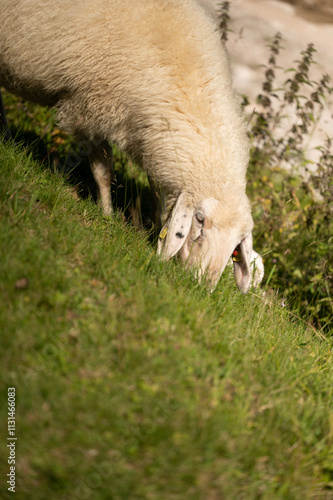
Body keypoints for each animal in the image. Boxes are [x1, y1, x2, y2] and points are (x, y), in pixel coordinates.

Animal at [0, 0, 264, 292]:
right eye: (199, 219)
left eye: (236, 246)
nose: (201, 286)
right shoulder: (93, 106)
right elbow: (103, 171)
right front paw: (106, 213)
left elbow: (157, 193)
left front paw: (156, 225)